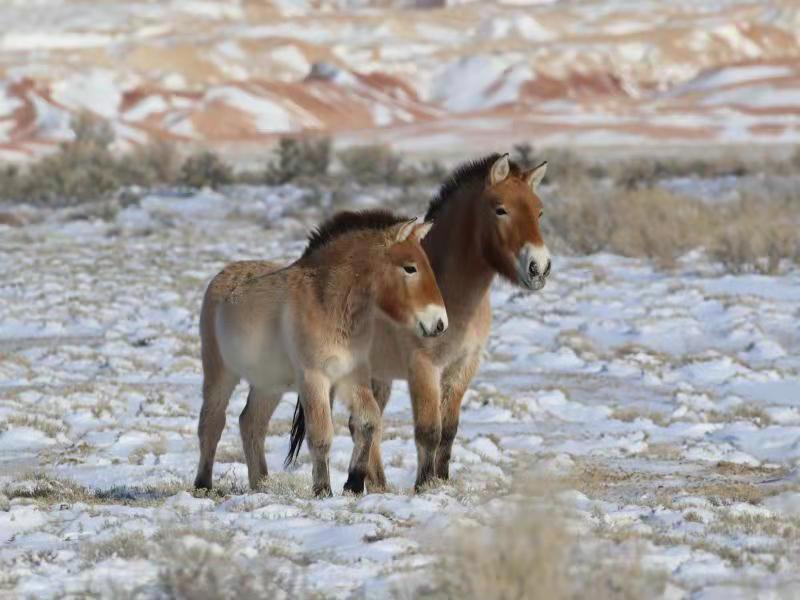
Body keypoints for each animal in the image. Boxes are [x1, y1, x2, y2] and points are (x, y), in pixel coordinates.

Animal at [191, 210, 446, 496]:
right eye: (410, 267)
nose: (439, 323)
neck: (328, 302)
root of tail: (222, 276)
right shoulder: (314, 378)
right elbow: (321, 434)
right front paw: (323, 489)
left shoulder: (353, 374)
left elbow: (368, 420)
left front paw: (353, 483)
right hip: (220, 374)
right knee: (211, 424)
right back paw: (203, 485)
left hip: (269, 385)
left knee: (251, 423)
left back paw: (261, 485)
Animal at [286, 152, 552, 490]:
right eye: (500, 209)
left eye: (539, 211)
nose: (539, 267)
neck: (452, 291)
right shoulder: (424, 368)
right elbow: (429, 431)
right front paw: (425, 486)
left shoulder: (463, 366)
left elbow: (449, 429)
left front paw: (442, 480)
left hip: (377, 375)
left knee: (365, 423)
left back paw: (376, 485)